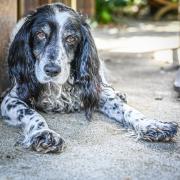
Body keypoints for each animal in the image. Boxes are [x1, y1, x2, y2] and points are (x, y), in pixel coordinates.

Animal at [0, 2, 177, 153]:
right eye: (40, 34)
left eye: (71, 38)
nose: (51, 70)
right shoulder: (11, 99)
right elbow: (31, 113)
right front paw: (44, 133)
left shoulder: (95, 91)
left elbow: (127, 109)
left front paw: (151, 124)